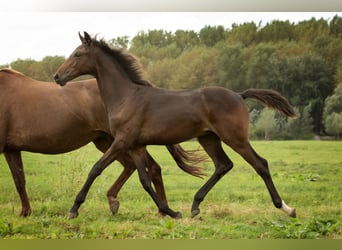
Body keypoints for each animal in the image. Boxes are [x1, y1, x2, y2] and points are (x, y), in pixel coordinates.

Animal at [0, 68, 206, 217]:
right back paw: (119, 202)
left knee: (152, 167)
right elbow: (19, 180)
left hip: (121, 142)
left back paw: (163, 210)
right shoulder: (11, 149)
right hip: (107, 142)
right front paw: (25, 212)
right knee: (133, 166)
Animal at [54, 31, 298, 219]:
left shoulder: (122, 141)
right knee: (223, 165)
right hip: (209, 138)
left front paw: (74, 209)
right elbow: (144, 179)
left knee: (260, 164)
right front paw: (170, 211)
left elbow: (96, 169)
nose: (57, 76)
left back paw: (286, 208)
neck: (127, 96)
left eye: (77, 54)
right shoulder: (136, 146)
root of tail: (239, 95)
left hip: (235, 138)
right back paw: (195, 206)